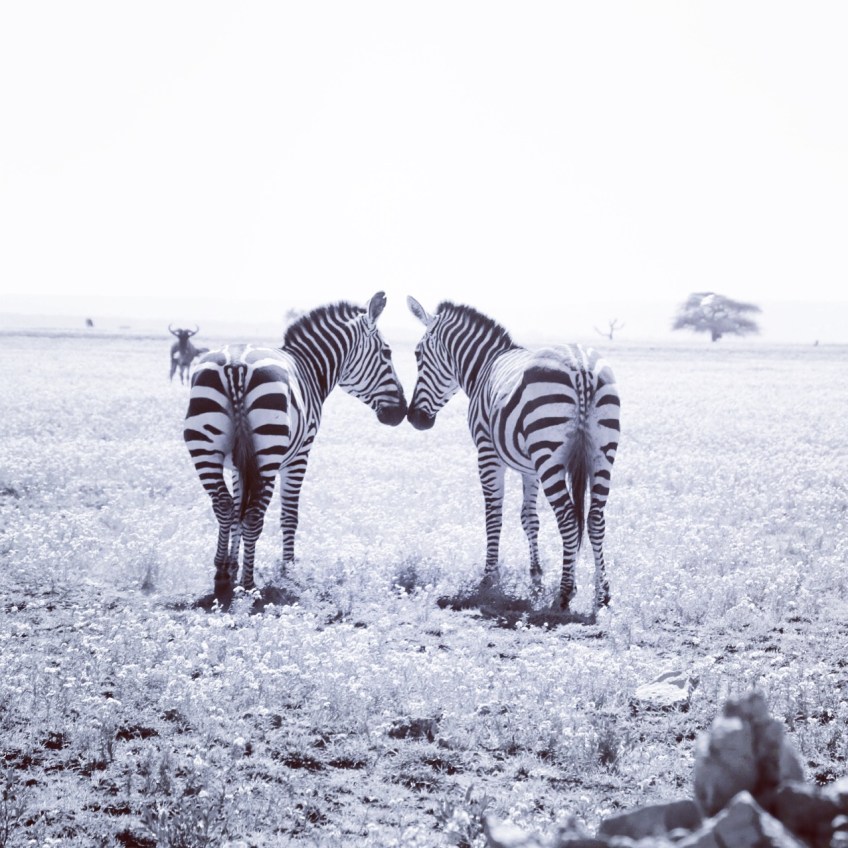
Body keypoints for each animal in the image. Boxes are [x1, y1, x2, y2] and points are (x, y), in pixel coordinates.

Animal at [183, 292, 407, 600]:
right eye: (387, 353)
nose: (402, 412)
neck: (309, 368)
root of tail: (236, 365)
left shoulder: (239, 464)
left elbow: (238, 509)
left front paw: (232, 567)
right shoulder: (300, 455)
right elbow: (289, 515)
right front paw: (288, 571)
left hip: (204, 447)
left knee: (224, 505)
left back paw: (221, 578)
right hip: (268, 454)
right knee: (254, 514)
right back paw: (250, 584)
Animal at [406, 297, 620, 612]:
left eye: (418, 355)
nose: (415, 419)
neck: (485, 364)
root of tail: (581, 366)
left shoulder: (487, 453)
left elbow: (493, 514)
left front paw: (489, 578)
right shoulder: (529, 467)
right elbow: (529, 518)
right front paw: (536, 577)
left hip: (550, 455)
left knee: (568, 519)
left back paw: (565, 593)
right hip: (601, 453)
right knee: (595, 519)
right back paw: (602, 594)